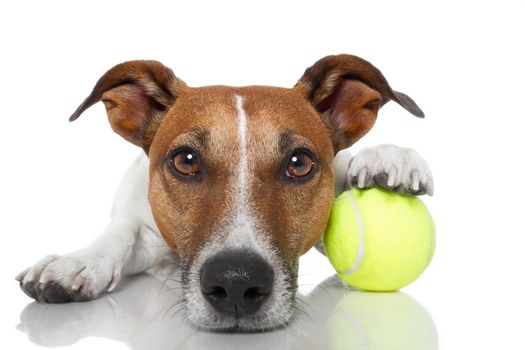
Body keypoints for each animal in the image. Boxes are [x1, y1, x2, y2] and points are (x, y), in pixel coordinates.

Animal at [17, 54, 434, 330]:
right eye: (185, 160)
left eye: (299, 163)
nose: (236, 282)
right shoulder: (144, 227)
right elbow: (121, 233)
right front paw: (77, 262)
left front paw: (386, 157)